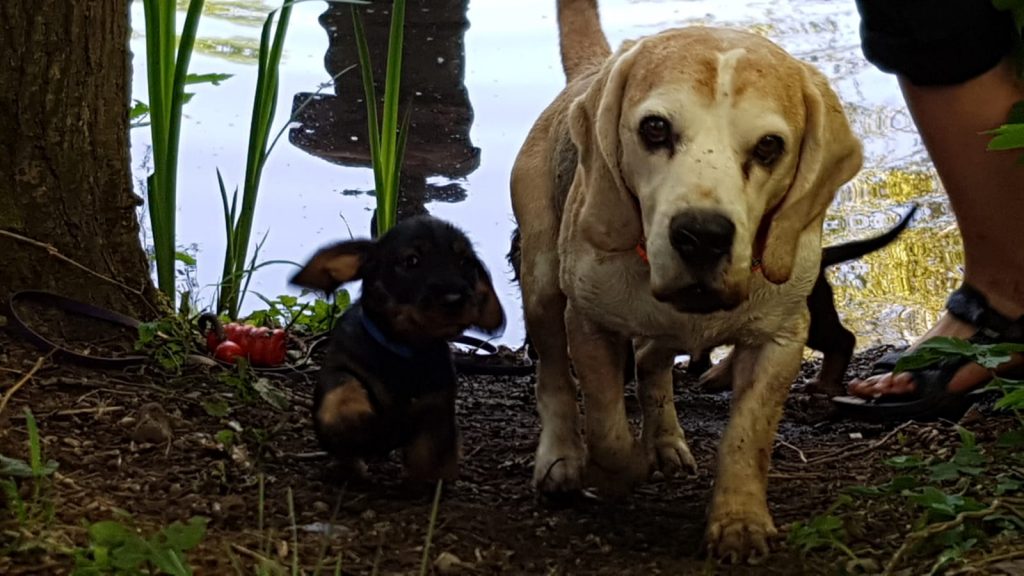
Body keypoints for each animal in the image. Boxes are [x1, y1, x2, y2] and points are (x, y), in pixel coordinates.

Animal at [292, 215, 503, 479]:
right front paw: (357, 420)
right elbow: (342, 393)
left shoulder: (436, 405)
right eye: (411, 260)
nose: (455, 300)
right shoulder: (340, 365)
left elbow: (431, 454)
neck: (405, 351)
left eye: (466, 262)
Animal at [512, 0, 864, 561]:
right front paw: (620, 471)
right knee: (555, 380)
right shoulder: (589, 324)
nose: (702, 236)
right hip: (542, 284)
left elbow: (748, 437)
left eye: (770, 146)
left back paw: (666, 441)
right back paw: (562, 458)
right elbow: (607, 428)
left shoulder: (780, 341)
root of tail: (593, 68)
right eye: (655, 129)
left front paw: (739, 520)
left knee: (653, 366)